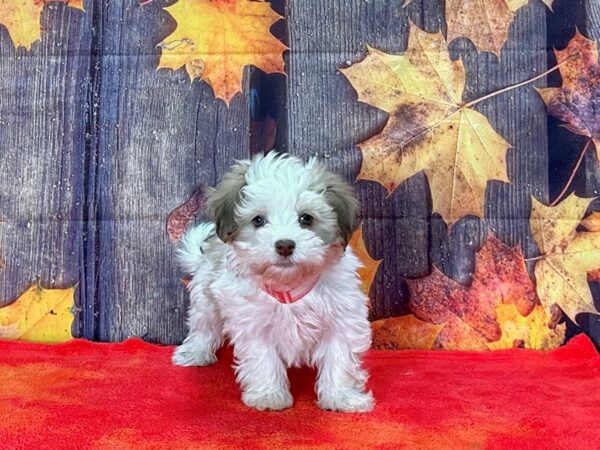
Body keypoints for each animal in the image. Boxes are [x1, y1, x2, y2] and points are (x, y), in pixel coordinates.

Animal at [171, 151, 372, 412]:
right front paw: (269, 395)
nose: (284, 245)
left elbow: (340, 356)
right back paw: (196, 352)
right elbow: (263, 358)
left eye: (306, 219)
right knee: (204, 326)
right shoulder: (252, 321)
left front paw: (342, 397)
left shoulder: (342, 317)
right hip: (206, 296)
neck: (287, 283)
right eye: (258, 220)